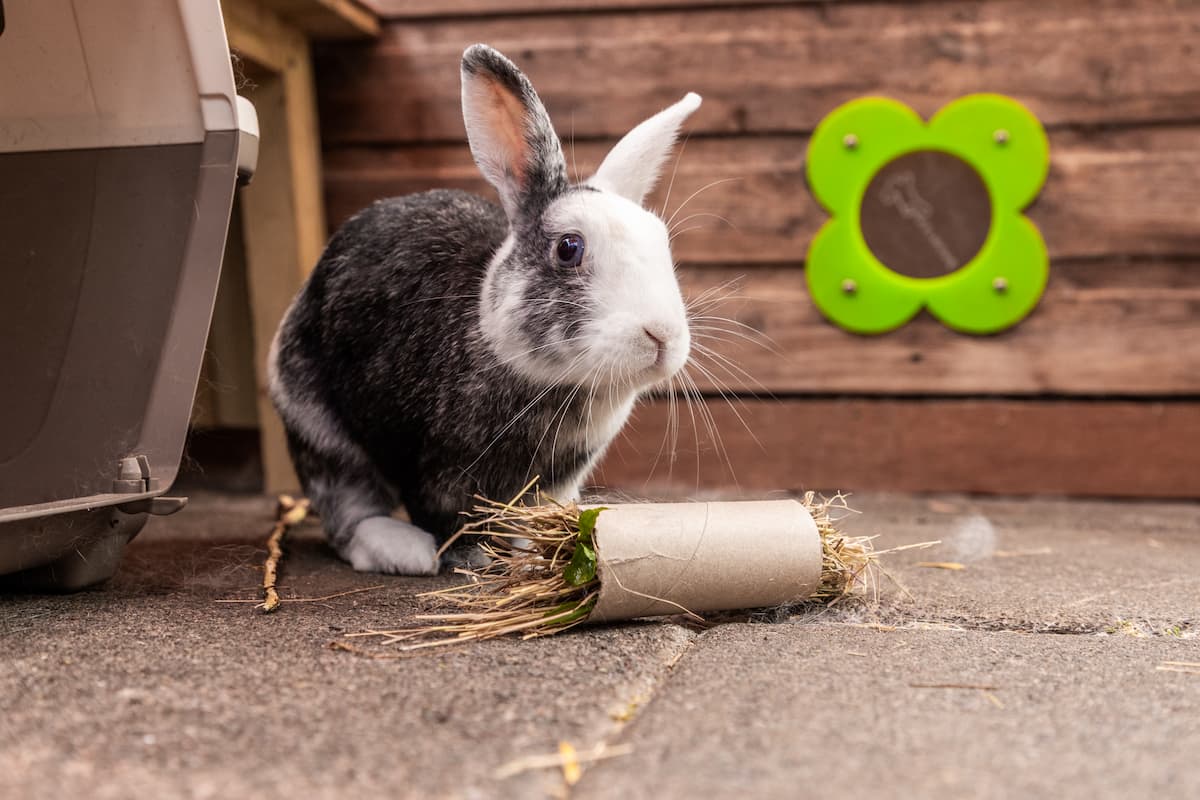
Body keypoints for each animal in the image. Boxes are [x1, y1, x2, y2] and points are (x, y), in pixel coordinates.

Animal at [268, 44, 701, 575]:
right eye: (569, 248)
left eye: (661, 242)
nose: (662, 335)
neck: (557, 383)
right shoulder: (441, 470)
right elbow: (452, 518)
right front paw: (475, 559)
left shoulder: (560, 476)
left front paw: (535, 549)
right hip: (319, 430)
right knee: (348, 512)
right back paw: (405, 551)